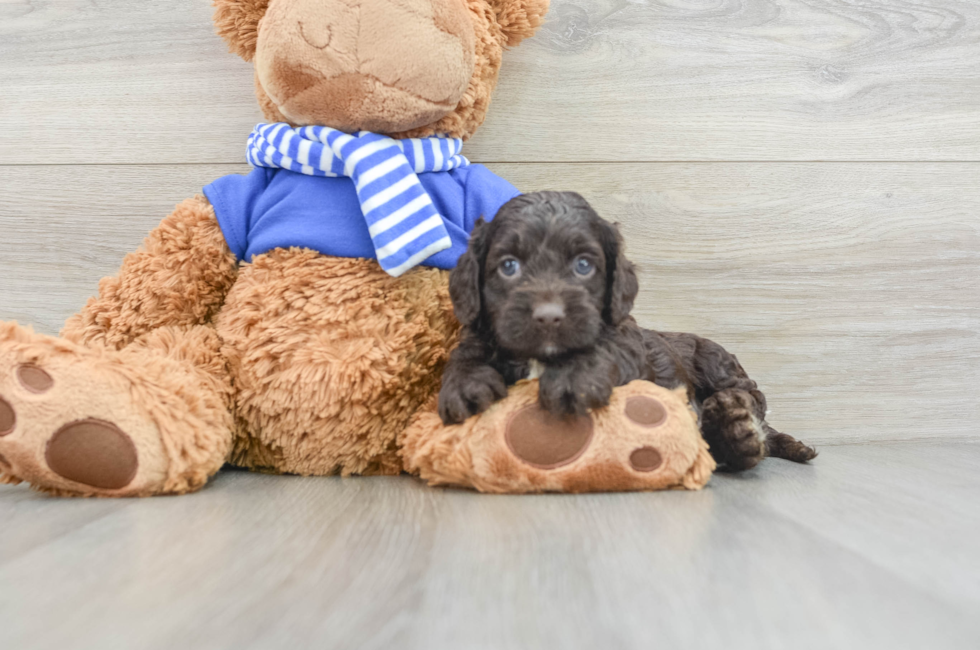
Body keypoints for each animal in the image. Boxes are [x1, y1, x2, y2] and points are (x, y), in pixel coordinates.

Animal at [440, 190, 816, 468]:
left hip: (718, 364)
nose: (548, 317)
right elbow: (467, 352)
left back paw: (744, 428)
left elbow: (606, 349)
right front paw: (465, 385)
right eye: (509, 266)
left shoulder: (630, 343)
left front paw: (573, 379)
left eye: (583, 265)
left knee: (756, 403)